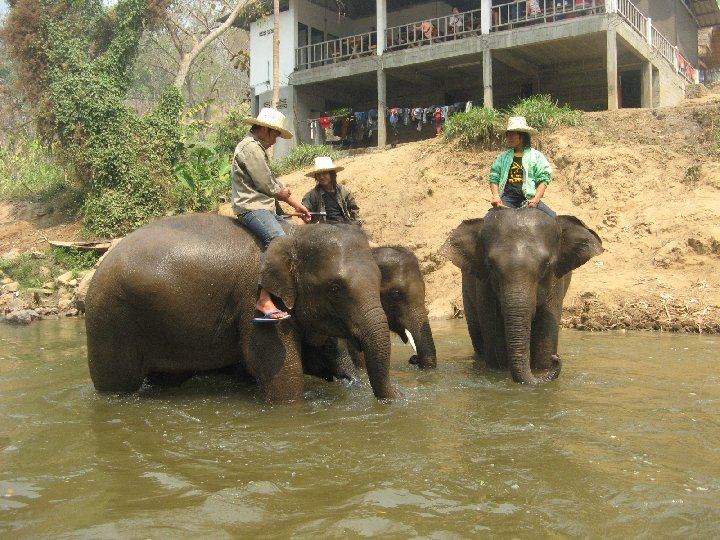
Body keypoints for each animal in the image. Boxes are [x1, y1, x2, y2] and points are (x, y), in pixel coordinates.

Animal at [86, 213, 400, 402]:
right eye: (335, 288)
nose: (391, 400)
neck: (295, 234)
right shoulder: (255, 305)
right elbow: (282, 373)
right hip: (110, 321)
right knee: (116, 385)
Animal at [442, 208, 604, 384]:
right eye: (491, 265)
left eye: (546, 265)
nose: (557, 358)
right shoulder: (484, 285)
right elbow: (495, 342)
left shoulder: (555, 282)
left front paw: (544, 367)